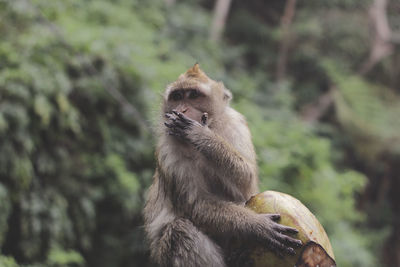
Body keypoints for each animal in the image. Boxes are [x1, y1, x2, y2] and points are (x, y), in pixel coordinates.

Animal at [142, 65, 302, 267]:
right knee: (180, 231)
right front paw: (258, 226)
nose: (182, 109)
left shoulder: (236, 124)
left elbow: (247, 183)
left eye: (193, 95)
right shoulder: (168, 150)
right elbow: (197, 204)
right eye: (177, 97)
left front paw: (201, 135)